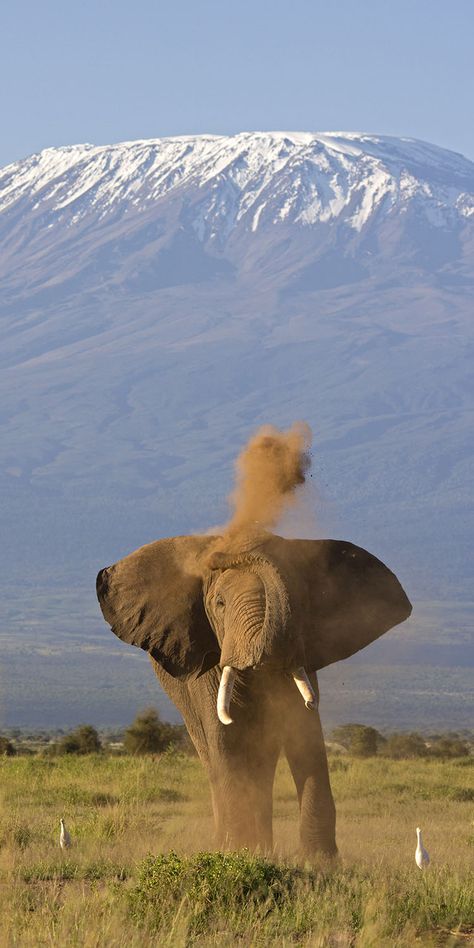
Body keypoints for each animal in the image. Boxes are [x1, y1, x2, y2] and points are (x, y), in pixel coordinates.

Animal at [97, 532, 412, 860]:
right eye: (220, 604)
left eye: (300, 603)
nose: (224, 554)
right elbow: (227, 737)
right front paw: (239, 854)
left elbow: (305, 733)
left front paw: (320, 863)